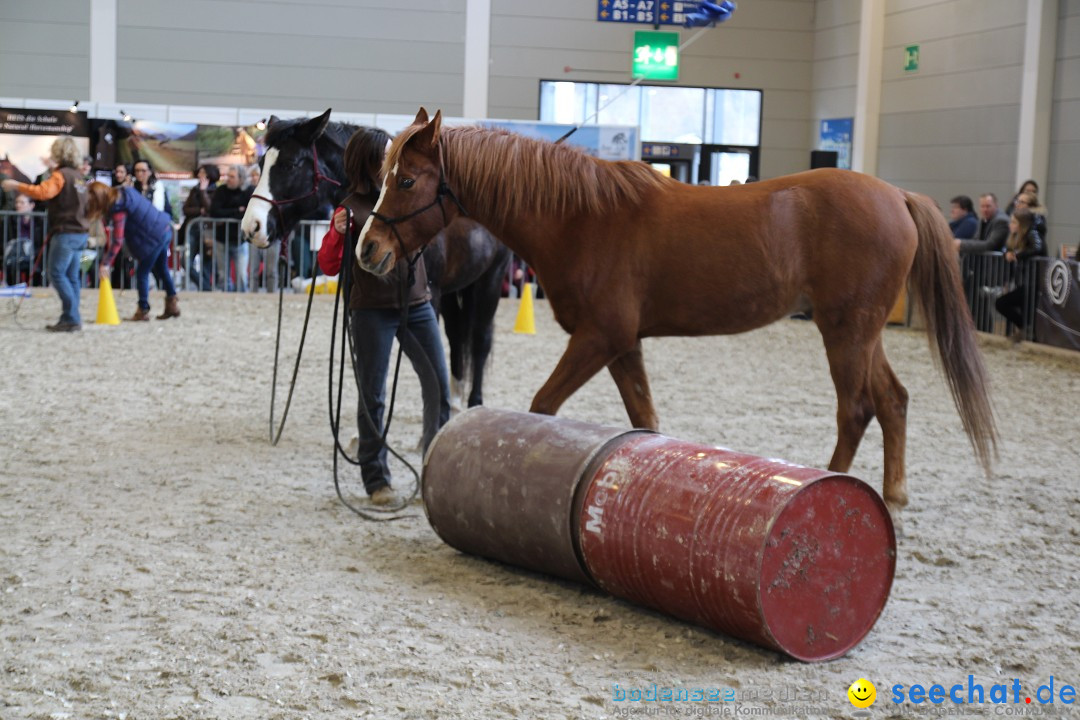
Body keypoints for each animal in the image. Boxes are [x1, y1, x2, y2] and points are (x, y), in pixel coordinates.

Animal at [358, 108, 997, 518]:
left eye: (406, 179)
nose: (368, 249)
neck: (580, 217)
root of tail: (897, 196)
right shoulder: (622, 345)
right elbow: (645, 418)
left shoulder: (597, 338)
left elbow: (543, 406)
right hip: (863, 332)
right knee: (893, 401)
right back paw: (894, 493)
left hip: (846, 332)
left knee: (857, 409)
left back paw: (835, 482)